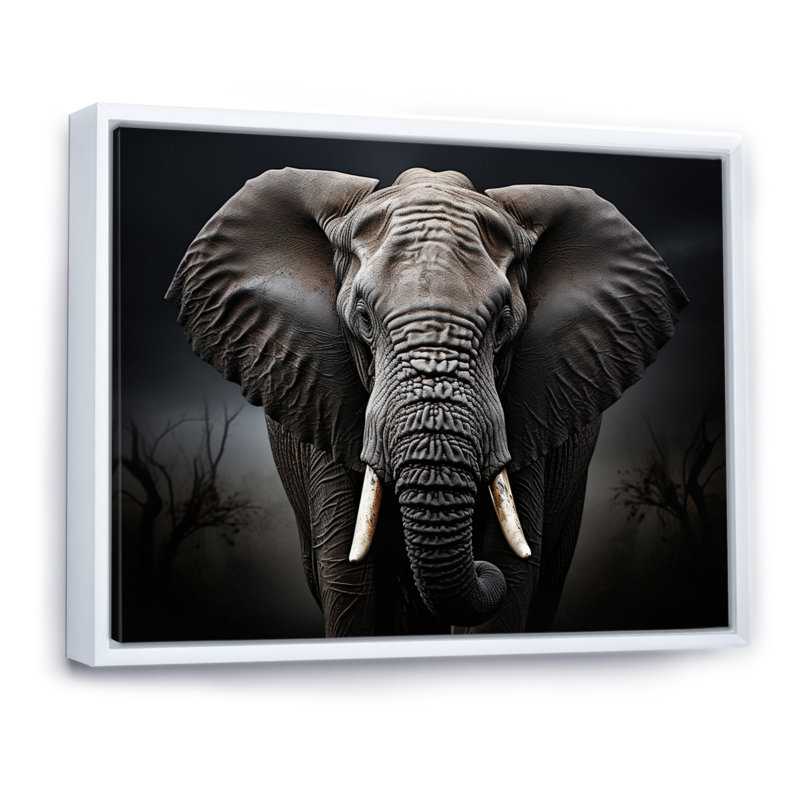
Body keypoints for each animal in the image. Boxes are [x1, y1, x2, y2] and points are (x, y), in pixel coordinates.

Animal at [166, 166, 687, 637]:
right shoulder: (322, 396)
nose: (478, 571)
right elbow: (349, 583)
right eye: (362, 317)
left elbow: (511, 579)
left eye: (504, 322)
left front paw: (494, 569)